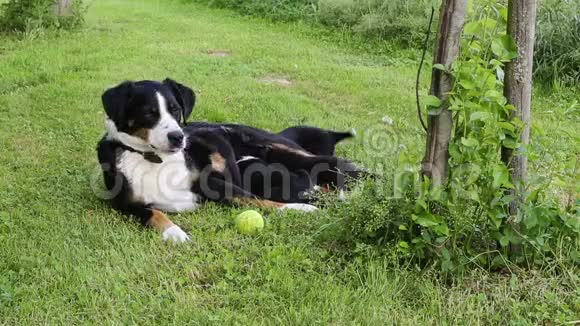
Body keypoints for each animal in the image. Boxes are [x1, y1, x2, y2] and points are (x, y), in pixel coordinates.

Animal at [98, 78, 362, 242]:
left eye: (175, 110)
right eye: (148, 113)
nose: (178, 137)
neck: (155, 160)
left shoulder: (212, 183)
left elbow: (256, 199)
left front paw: (297, 208)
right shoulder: (125, 205)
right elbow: (154, 214)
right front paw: (174, 233)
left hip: (281, 148)